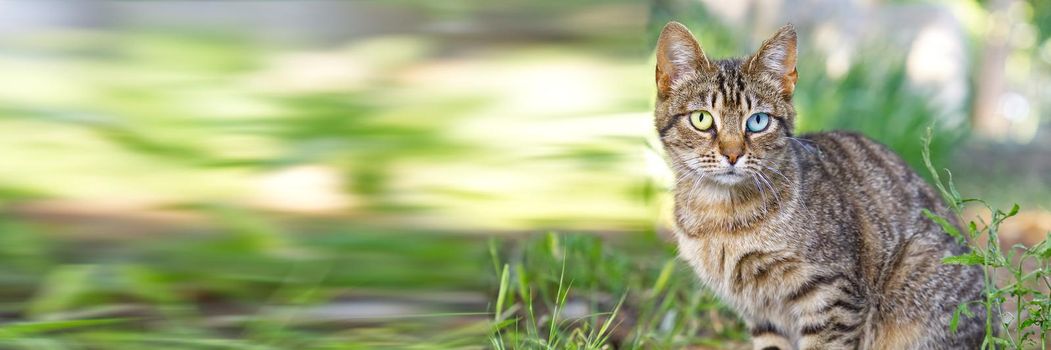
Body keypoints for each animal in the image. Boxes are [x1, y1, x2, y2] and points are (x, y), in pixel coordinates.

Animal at [651, 22, 987, 348]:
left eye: (758, 121)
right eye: (702, 119)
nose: (732, 154)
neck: (721, 215)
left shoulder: (831, 295)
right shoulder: (761, 314)